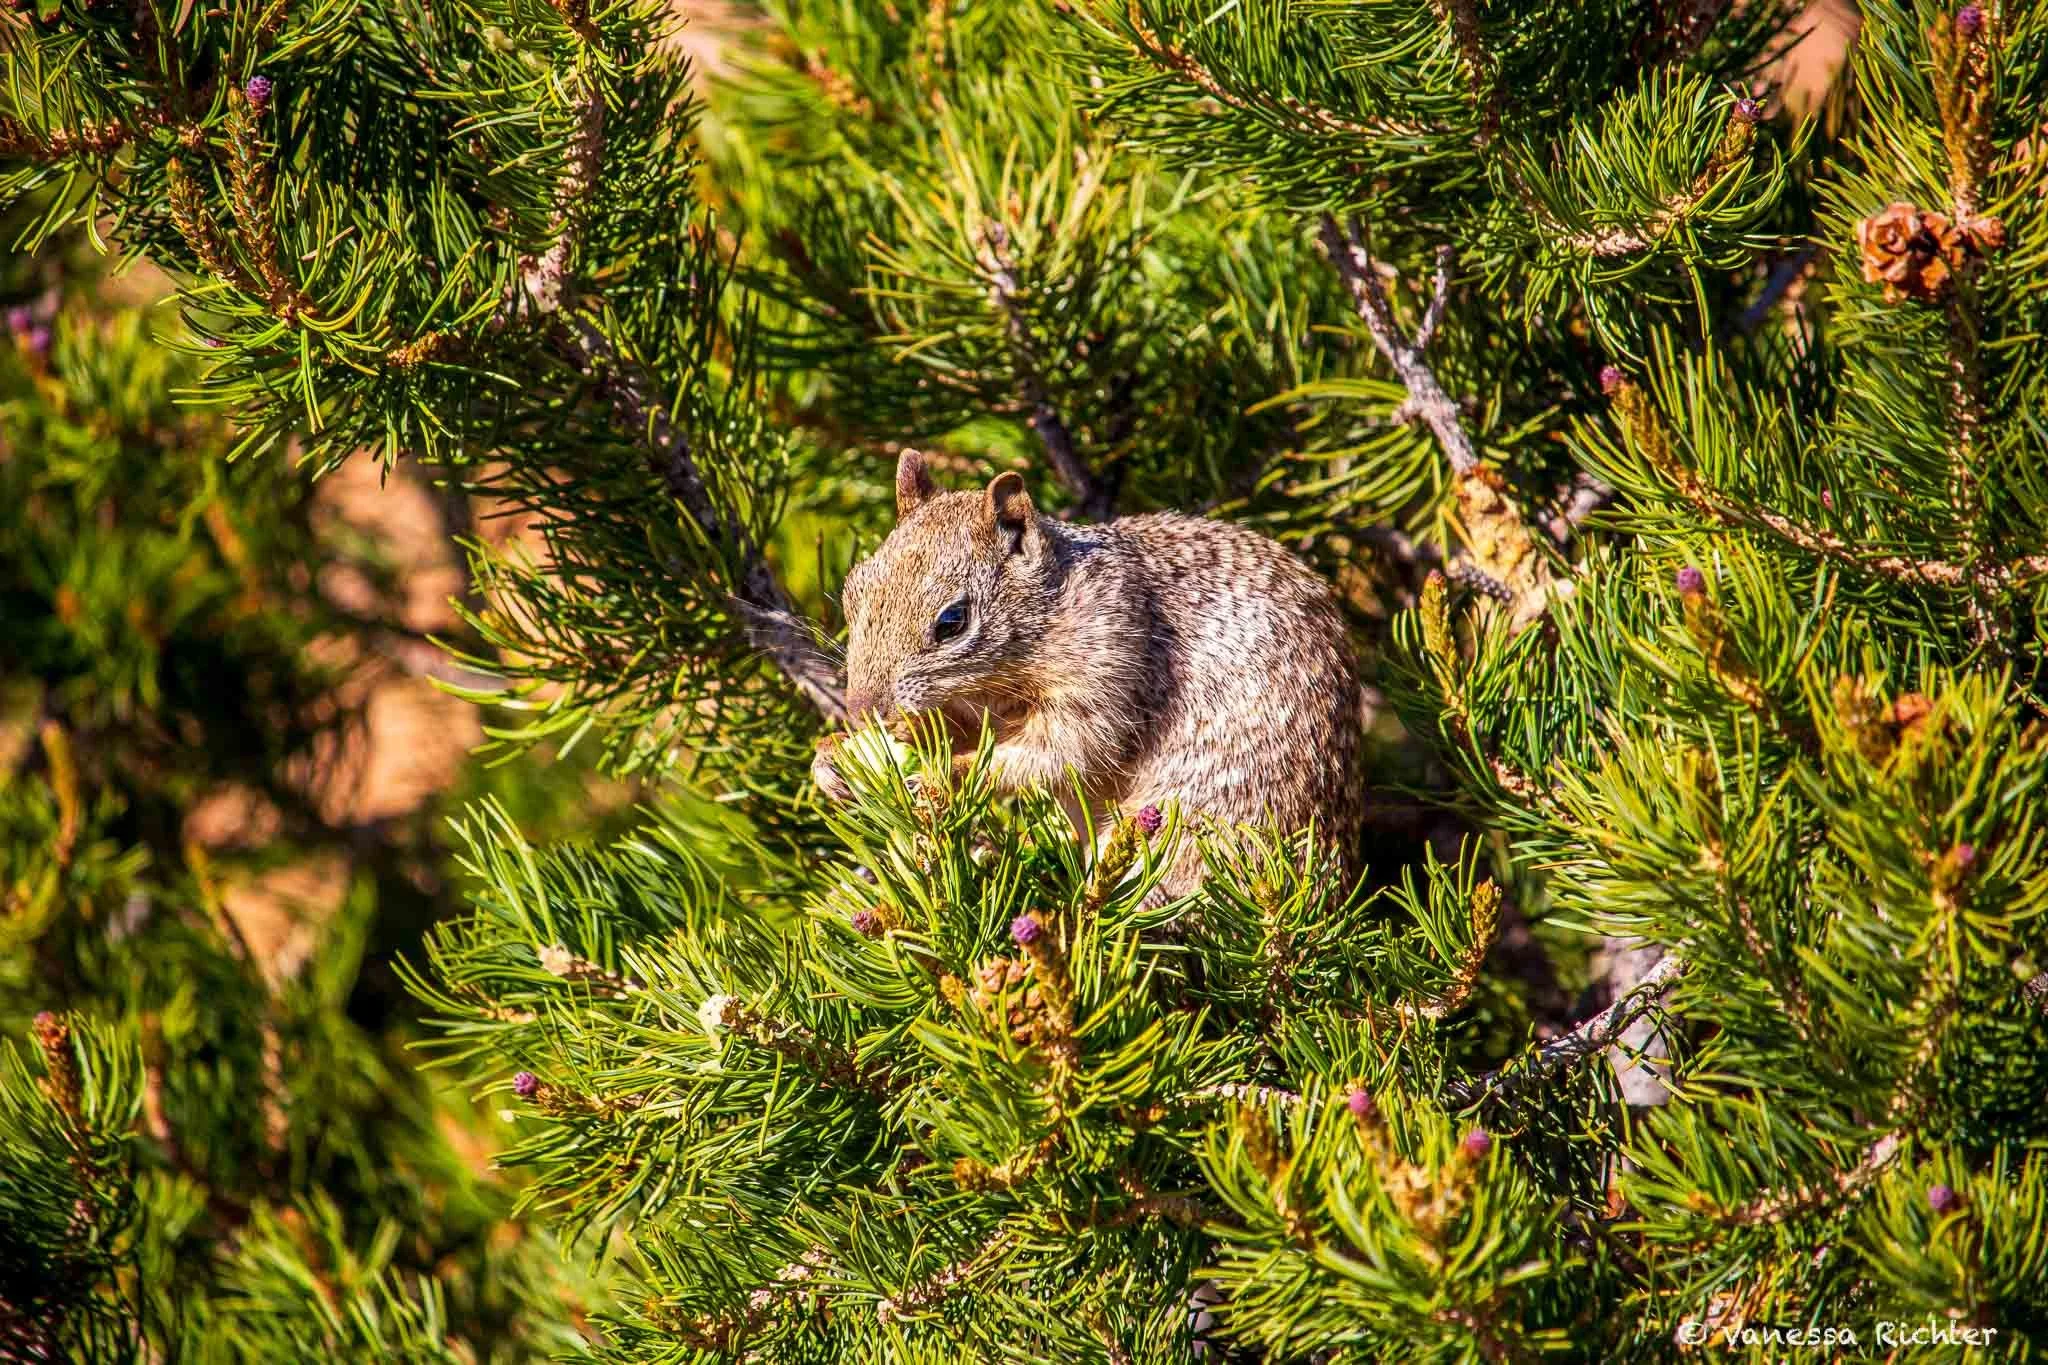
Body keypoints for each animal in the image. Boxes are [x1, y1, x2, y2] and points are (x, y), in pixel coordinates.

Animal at [812, 449, 1367, 899]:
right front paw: (833, 759)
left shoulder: (1108, 674)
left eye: (952, 621)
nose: (861, 711)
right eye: (853, 590)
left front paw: (947, 774)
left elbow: (1060, 753)